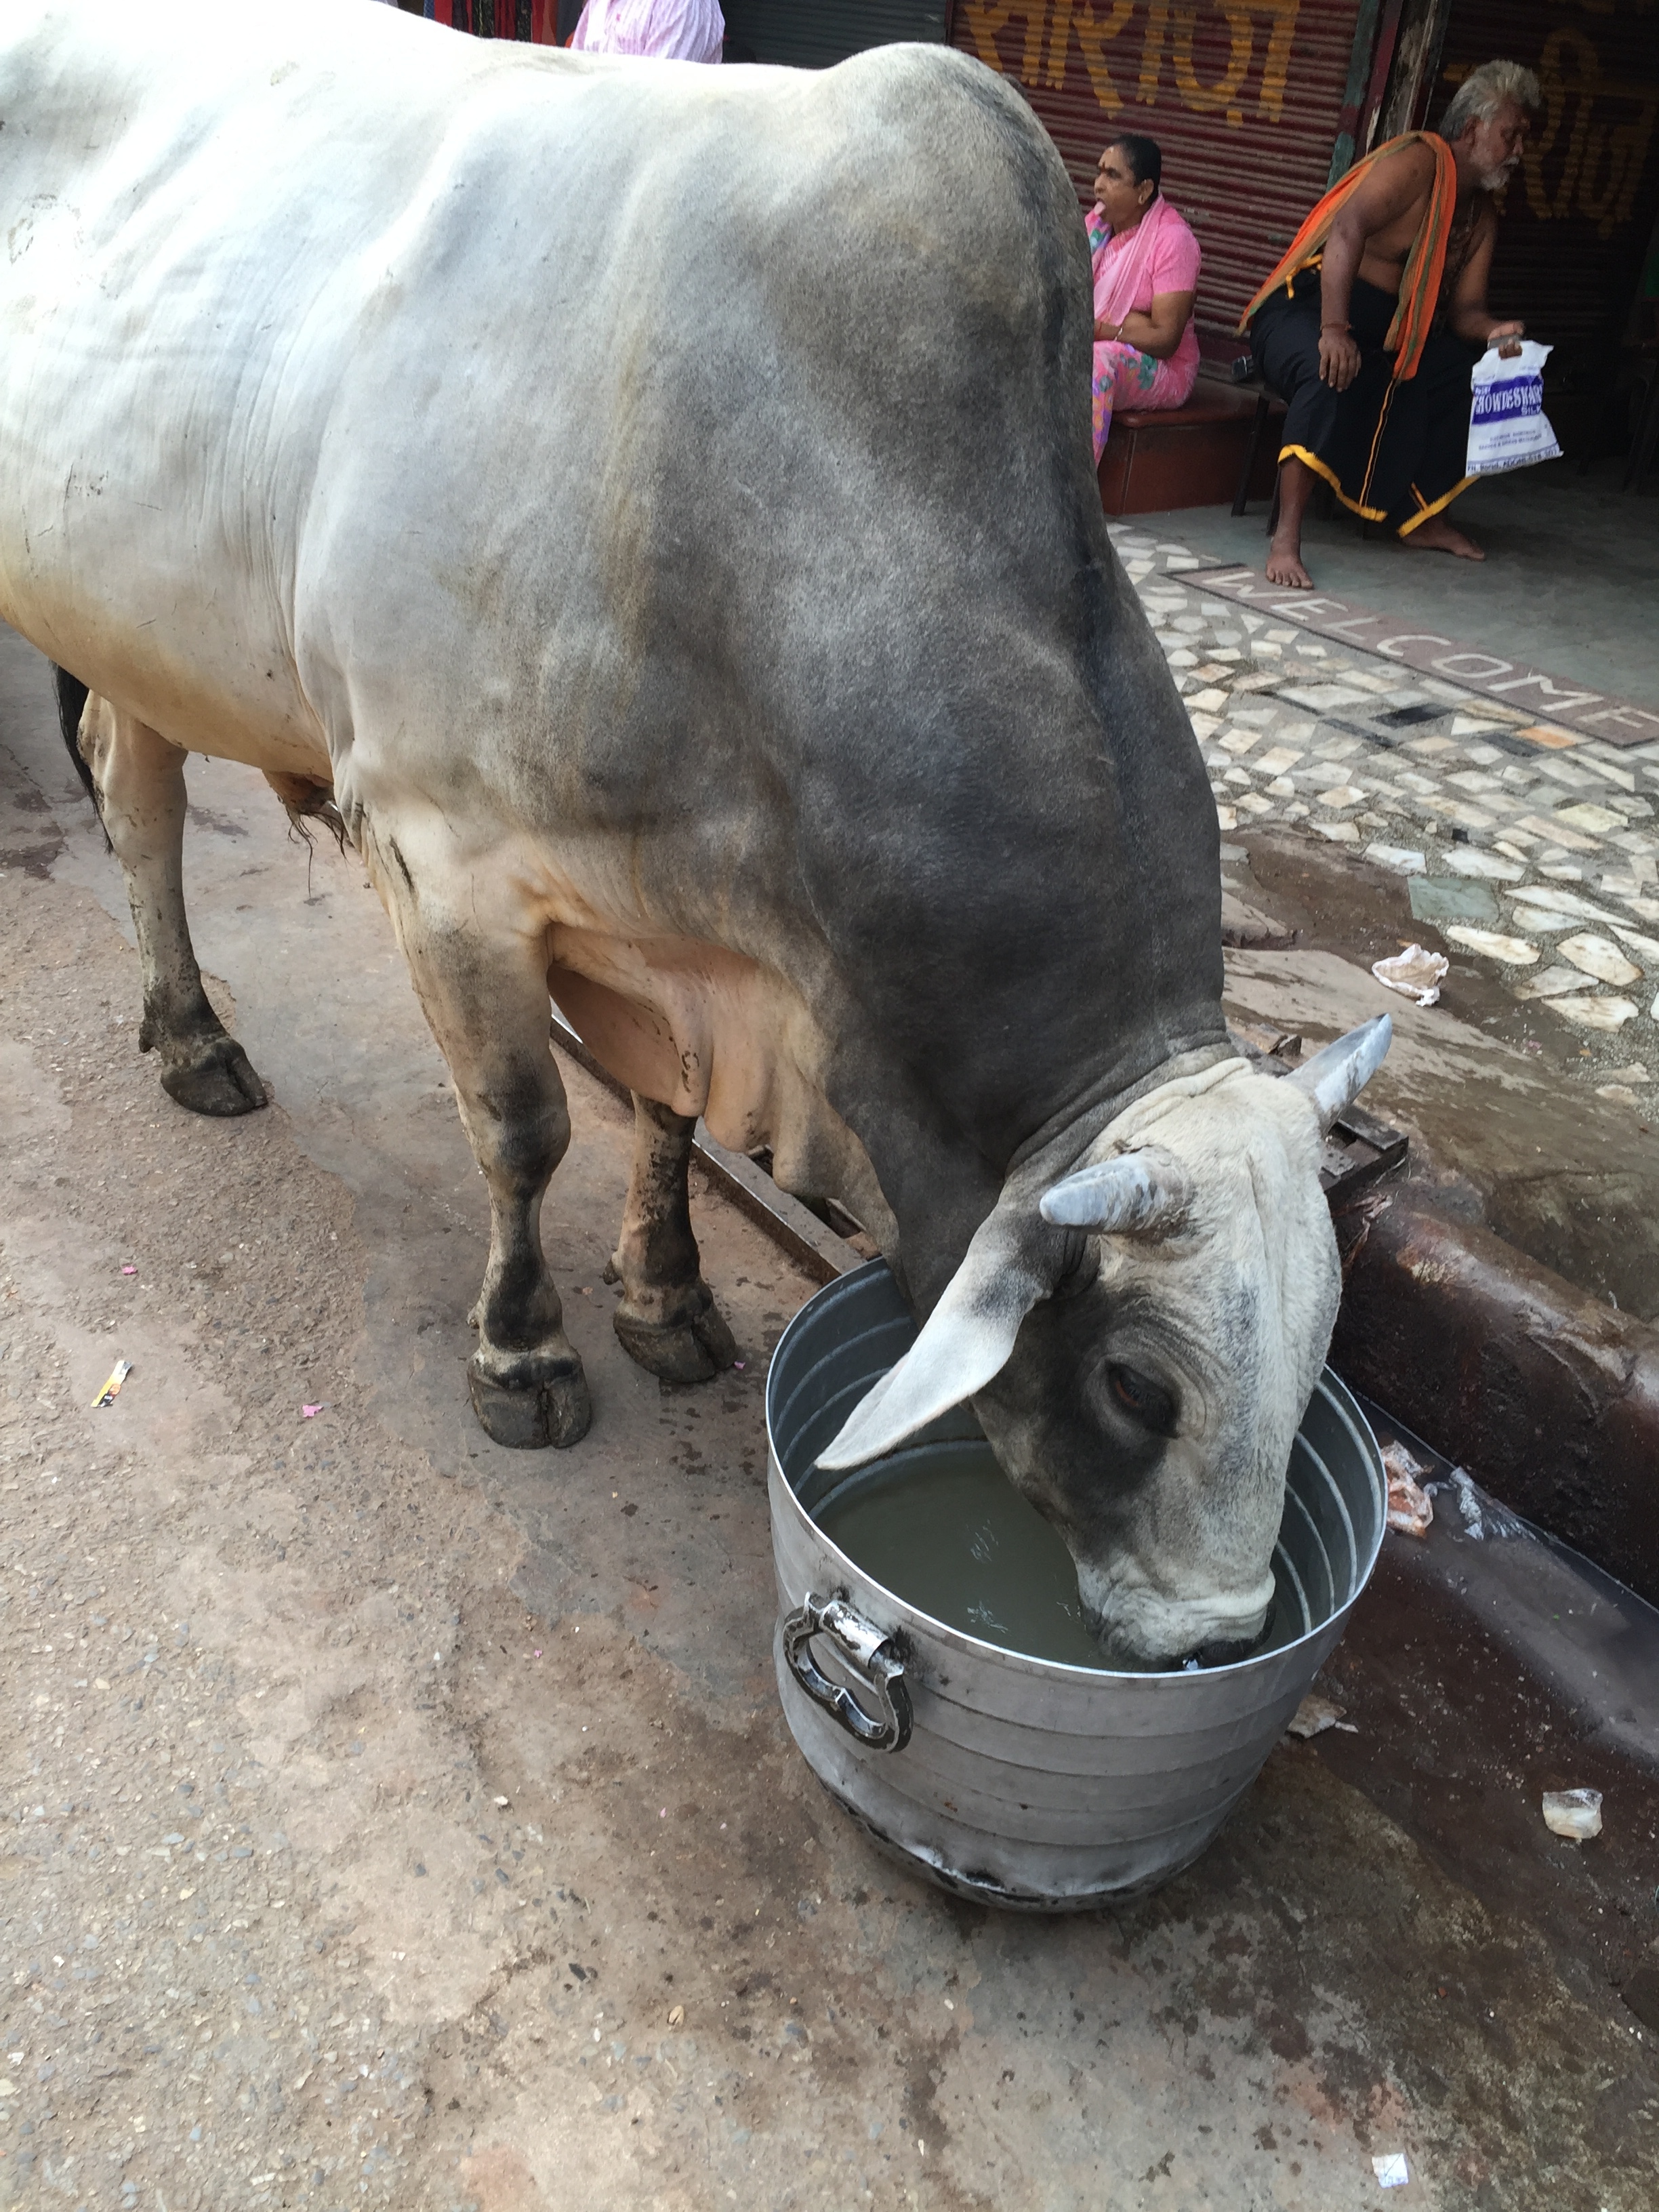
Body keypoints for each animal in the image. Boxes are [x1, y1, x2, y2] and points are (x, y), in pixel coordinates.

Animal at [0, 1, 1389, 1665]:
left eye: (1320, 1354)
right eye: (1136, 1381)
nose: (1215, 1633)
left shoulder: (676, 933)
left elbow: (663, 1118)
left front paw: (662, 1301)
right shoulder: (442, 858)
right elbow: (524, 1129)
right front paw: (524, 1356)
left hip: (140, 621)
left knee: (132, 793)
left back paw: (190, 1030)